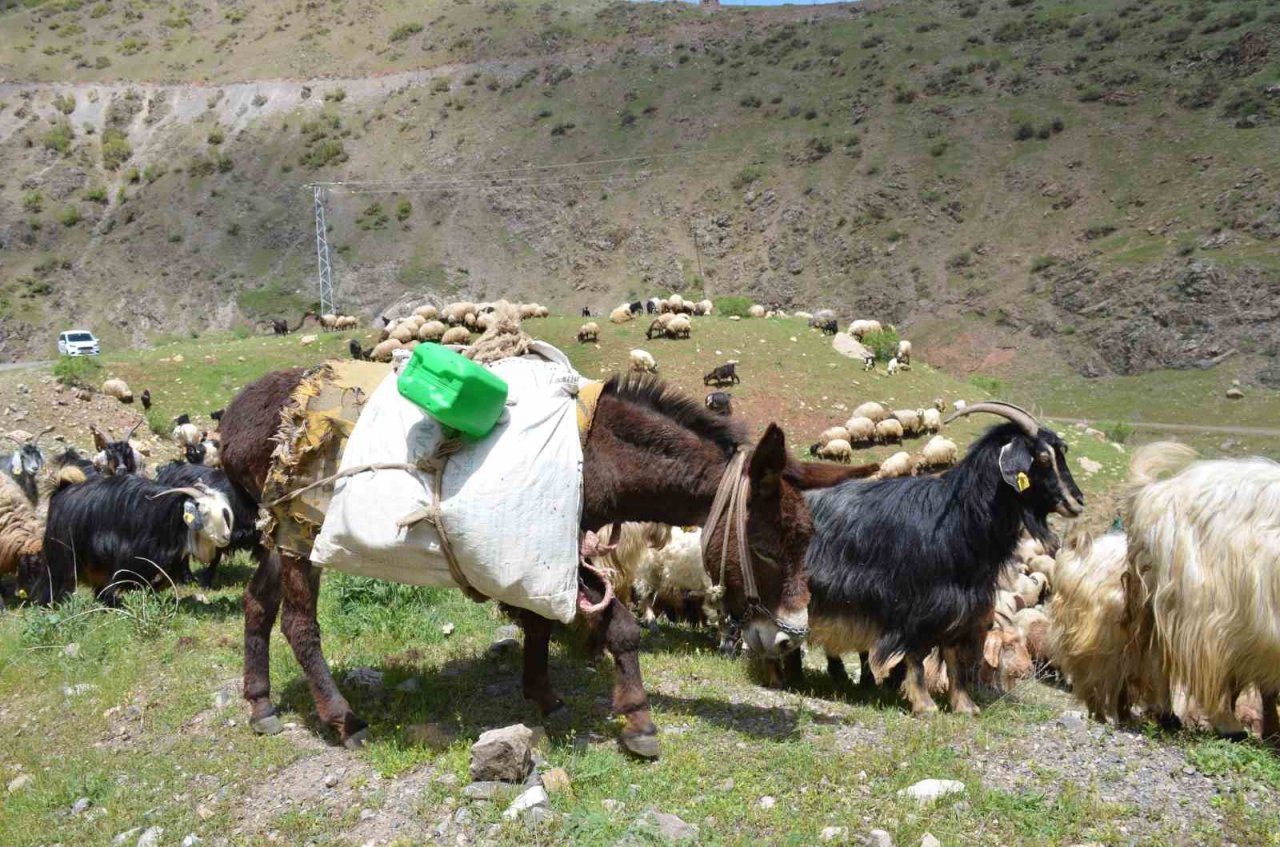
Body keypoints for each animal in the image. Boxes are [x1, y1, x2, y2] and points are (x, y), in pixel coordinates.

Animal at [42, 473, 235, 606]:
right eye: (204, 513)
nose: (226, 536)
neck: (170, 517)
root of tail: (61, 493)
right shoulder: (134, 557)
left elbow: (165, 580)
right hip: (63, 555)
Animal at [783, 404, 1085, 716]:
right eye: (1043, 457)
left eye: (1061, 452)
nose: (1077, 501)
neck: (957, 520)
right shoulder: (915, 604)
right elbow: (916, 657)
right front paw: (924, 705)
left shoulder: (960, 606)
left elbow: (954, 659)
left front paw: (965, 706)